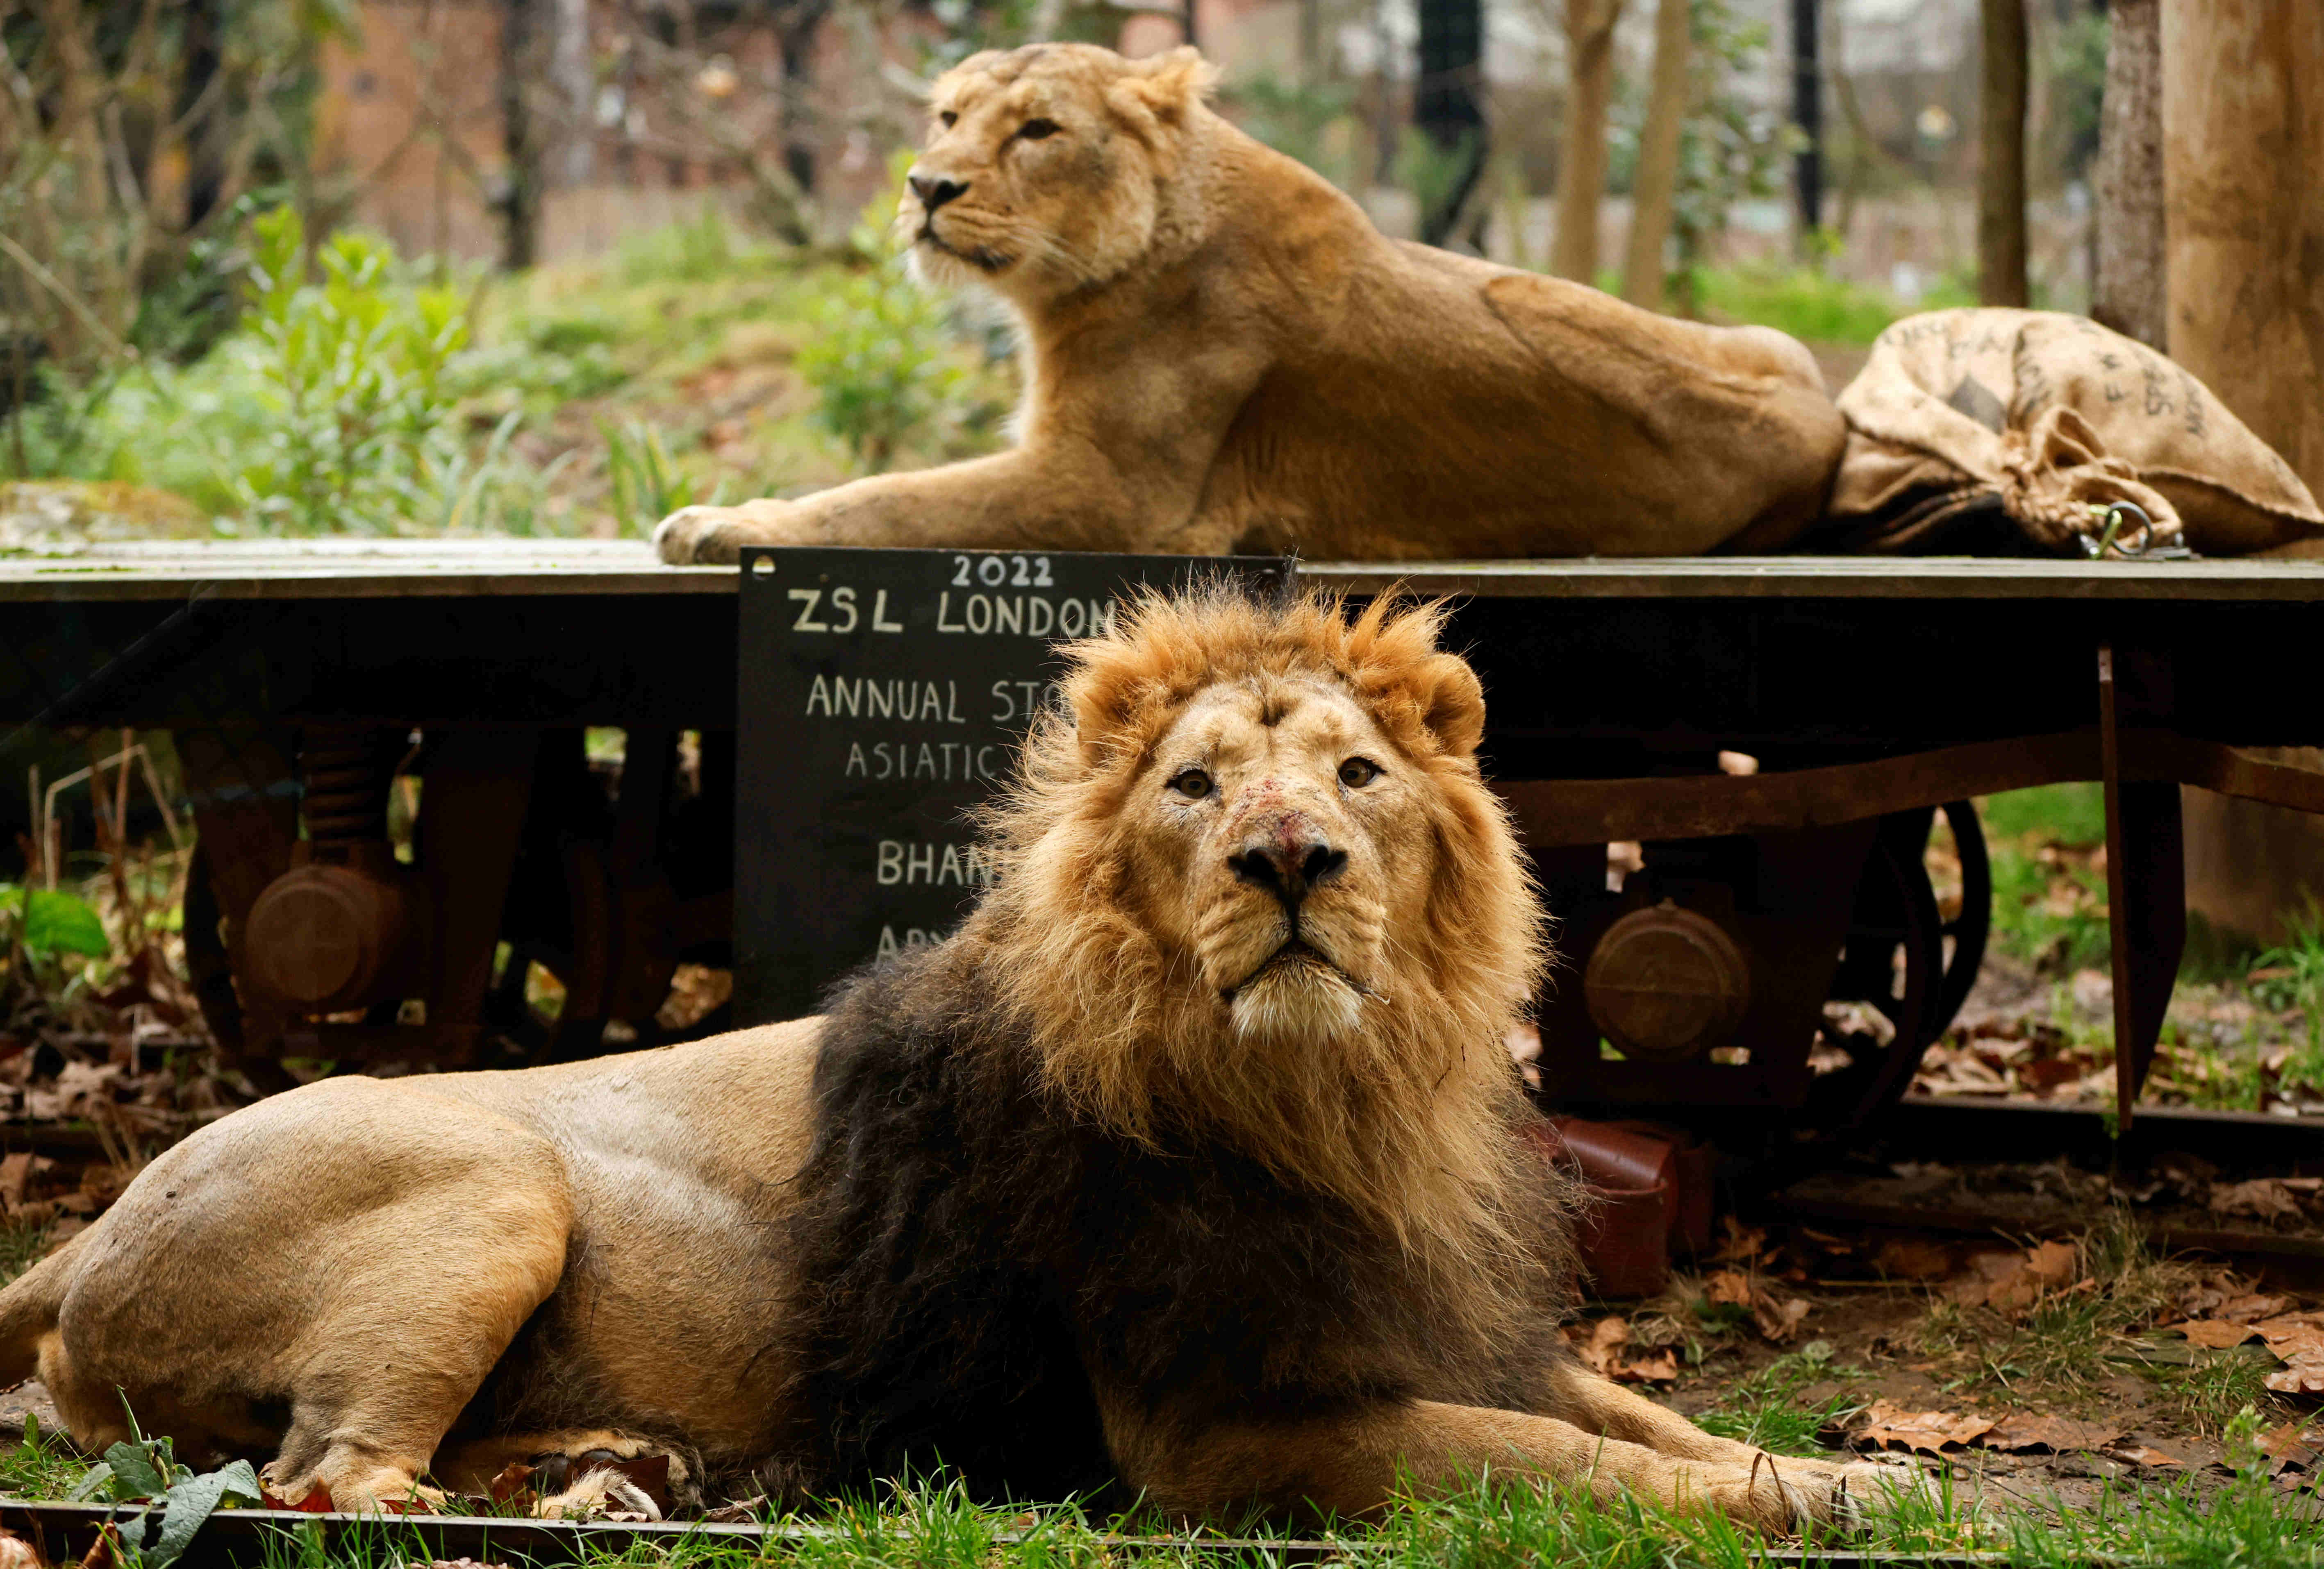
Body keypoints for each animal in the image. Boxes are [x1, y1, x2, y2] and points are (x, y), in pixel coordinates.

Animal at [650, 41, 1831, 572]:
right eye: (948, 116)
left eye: (1037, 131)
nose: (926, 186)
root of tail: (1828, 422)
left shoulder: (1112, 492)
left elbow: (891, 497)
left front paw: (726, 520)